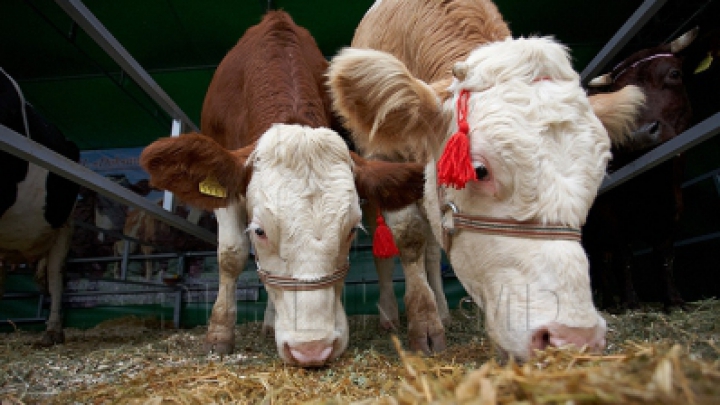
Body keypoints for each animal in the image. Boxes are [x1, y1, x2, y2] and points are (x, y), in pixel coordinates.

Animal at [330, 0, 644, 360]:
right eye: (479, 170)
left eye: (599, 171)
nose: (574, 337)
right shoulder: (383, 157)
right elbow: (408, 236)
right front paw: (423, 325)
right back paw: (390, 314)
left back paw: (442, 307)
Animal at [584, 27, 696, 310]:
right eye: (617, 91)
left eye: (674, 74)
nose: (638, 134)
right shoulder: (610, 212)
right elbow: (623, 254)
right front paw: (630, 302)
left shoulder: (674, 205)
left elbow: (665, 253)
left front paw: (673, 300)